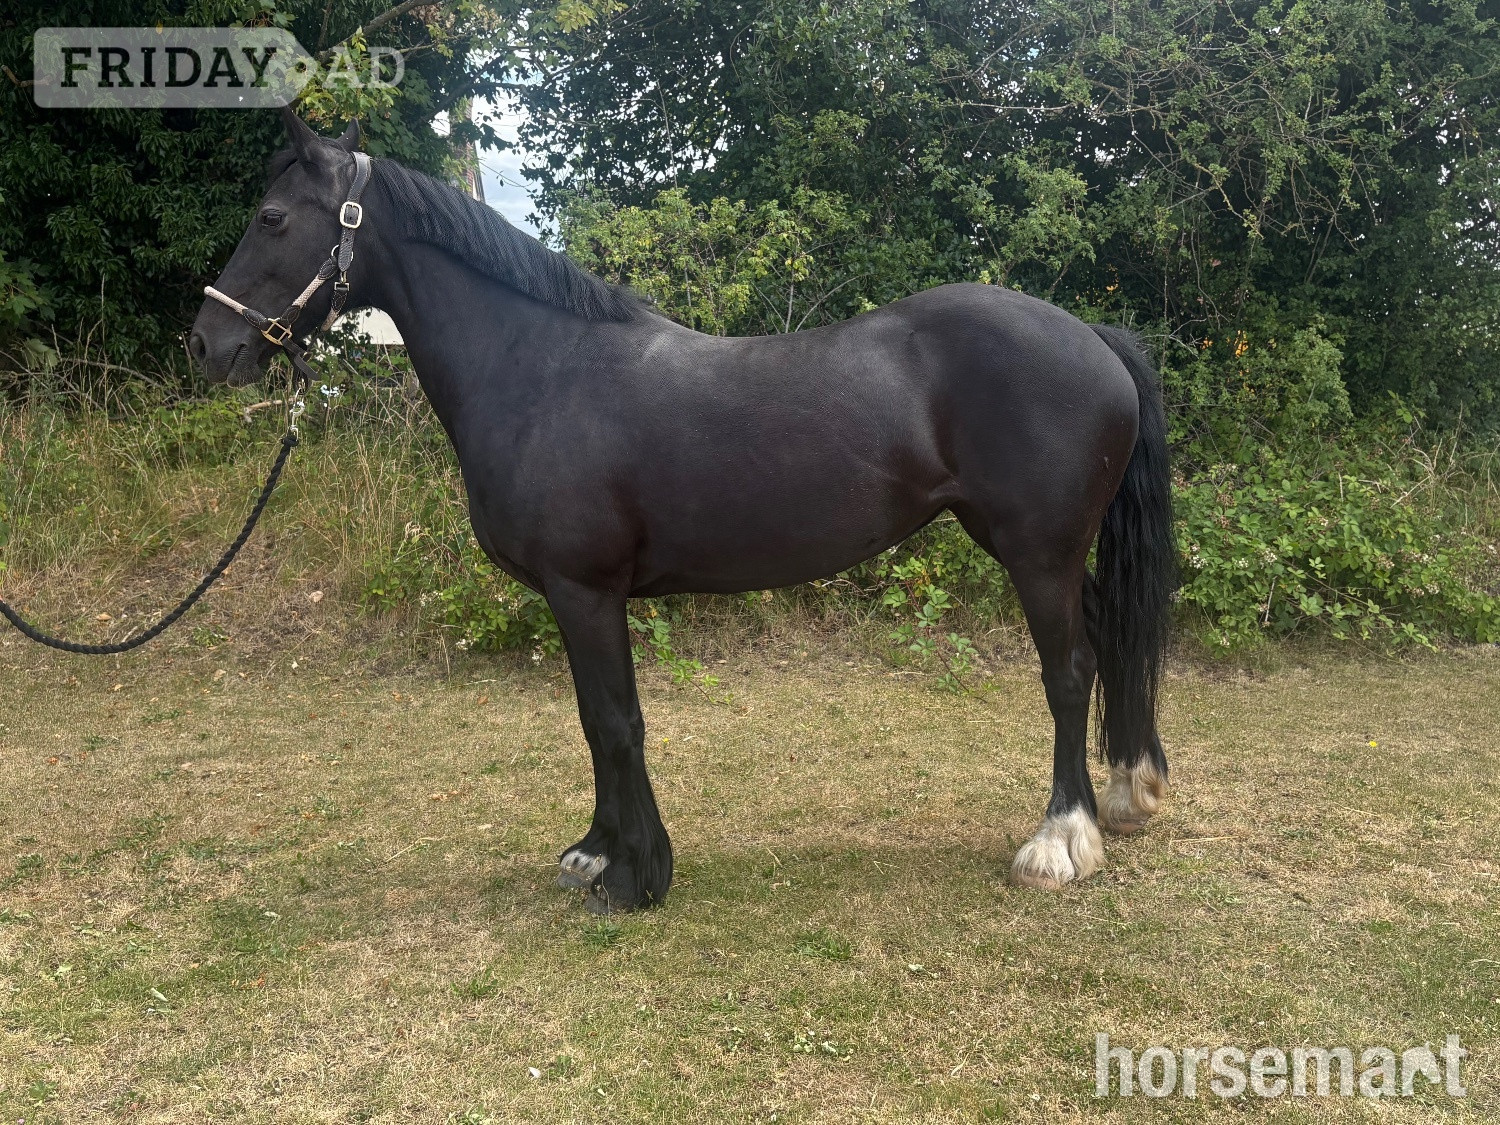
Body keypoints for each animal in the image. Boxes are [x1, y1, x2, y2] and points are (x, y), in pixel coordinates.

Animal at [188, 110, 1178, 913]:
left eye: (272, 218)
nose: (207, 344)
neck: (539, 367)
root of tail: (1096, 337)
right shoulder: (577, 599)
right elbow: (592, 716)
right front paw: (595, 853)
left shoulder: (584, 590)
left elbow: (613, 720)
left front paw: (634, 876)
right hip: (1046, 551)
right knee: (1110, 643)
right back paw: (1128, 794)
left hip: (1037, 551)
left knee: (1069, 670)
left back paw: (1060, 840)